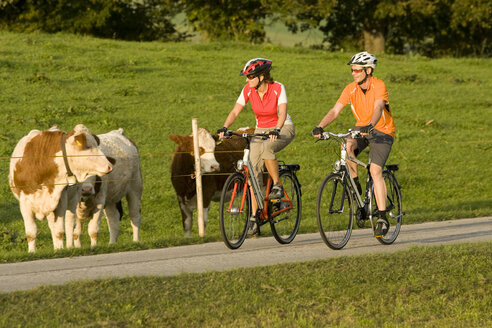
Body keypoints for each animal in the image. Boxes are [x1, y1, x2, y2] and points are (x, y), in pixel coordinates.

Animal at [8, 124, 113, 252]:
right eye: (88, 146)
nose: (109, 166)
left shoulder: (61, 200)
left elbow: (59, 231)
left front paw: (60, 250)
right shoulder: (25, 203)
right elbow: (31, 232)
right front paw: (32, 252)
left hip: (73, 200)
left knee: (69, 225)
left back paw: (68, 246)